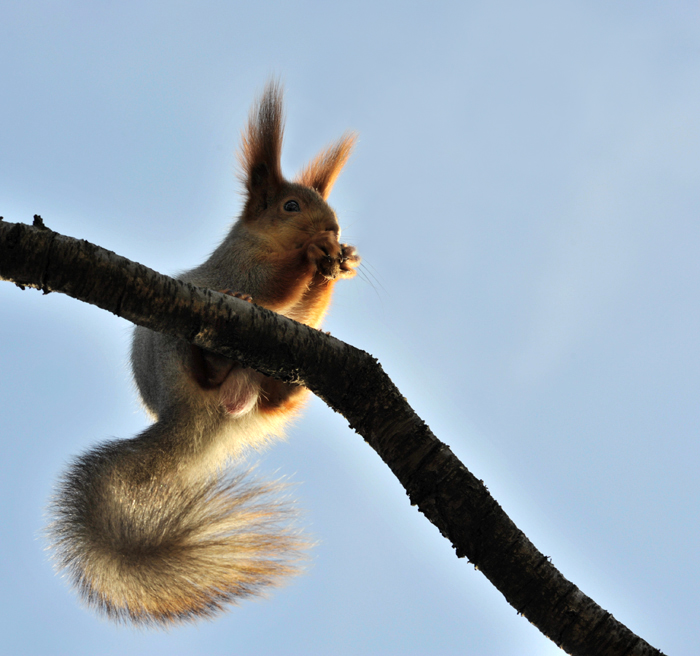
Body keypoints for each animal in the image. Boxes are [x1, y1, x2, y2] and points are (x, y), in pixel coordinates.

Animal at [47, 82, 360, 624]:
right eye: (290, 206)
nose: (335, 229)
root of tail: (189, 420)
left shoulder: (297, 316)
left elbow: (304, 310)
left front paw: (341, 265)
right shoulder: (237, 269)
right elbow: (272, 287)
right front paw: (313, 255)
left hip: (258, 396)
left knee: (268, 401)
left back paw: (286, 389)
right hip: (175, 348)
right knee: (209, 367)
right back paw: (214, 360)